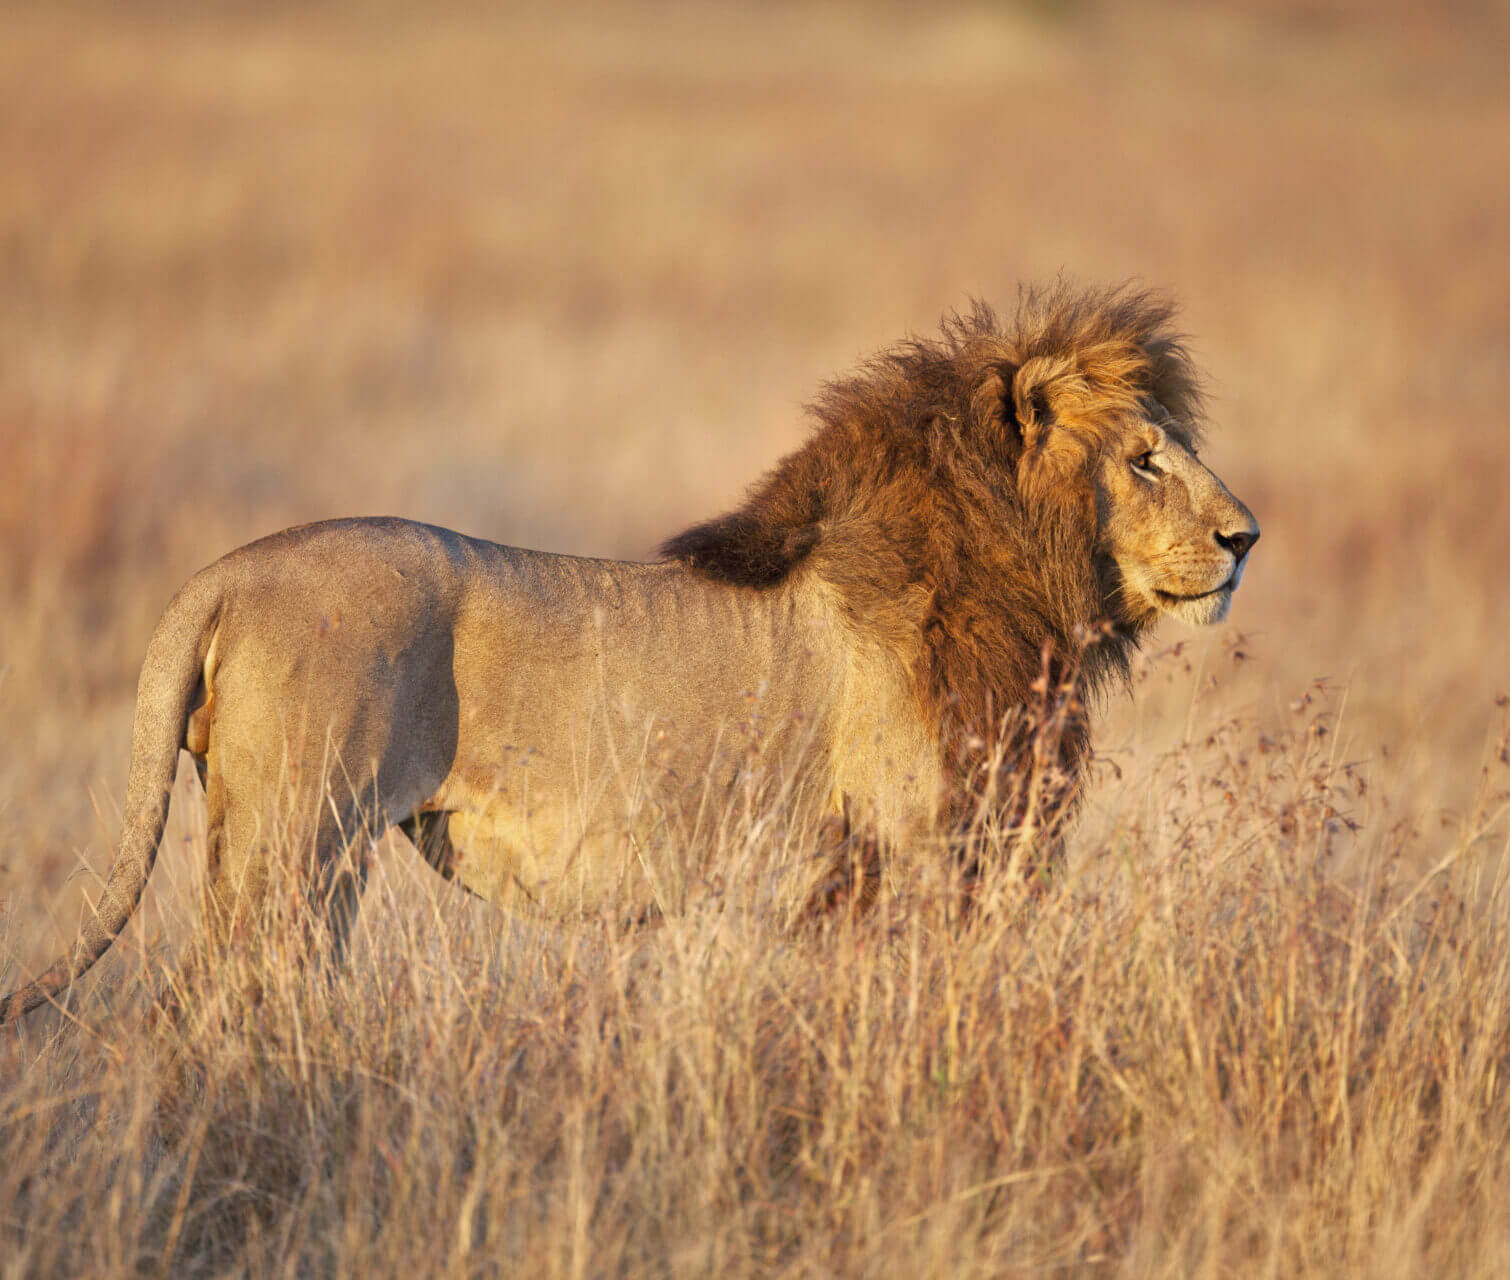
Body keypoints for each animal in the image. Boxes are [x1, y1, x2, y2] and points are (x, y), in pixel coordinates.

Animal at [0, 285, 1262, 1026]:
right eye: (1146, 458)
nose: (1246, 536)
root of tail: (222, 573)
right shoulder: (913, 852)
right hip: (294, 835)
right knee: (221, 997)